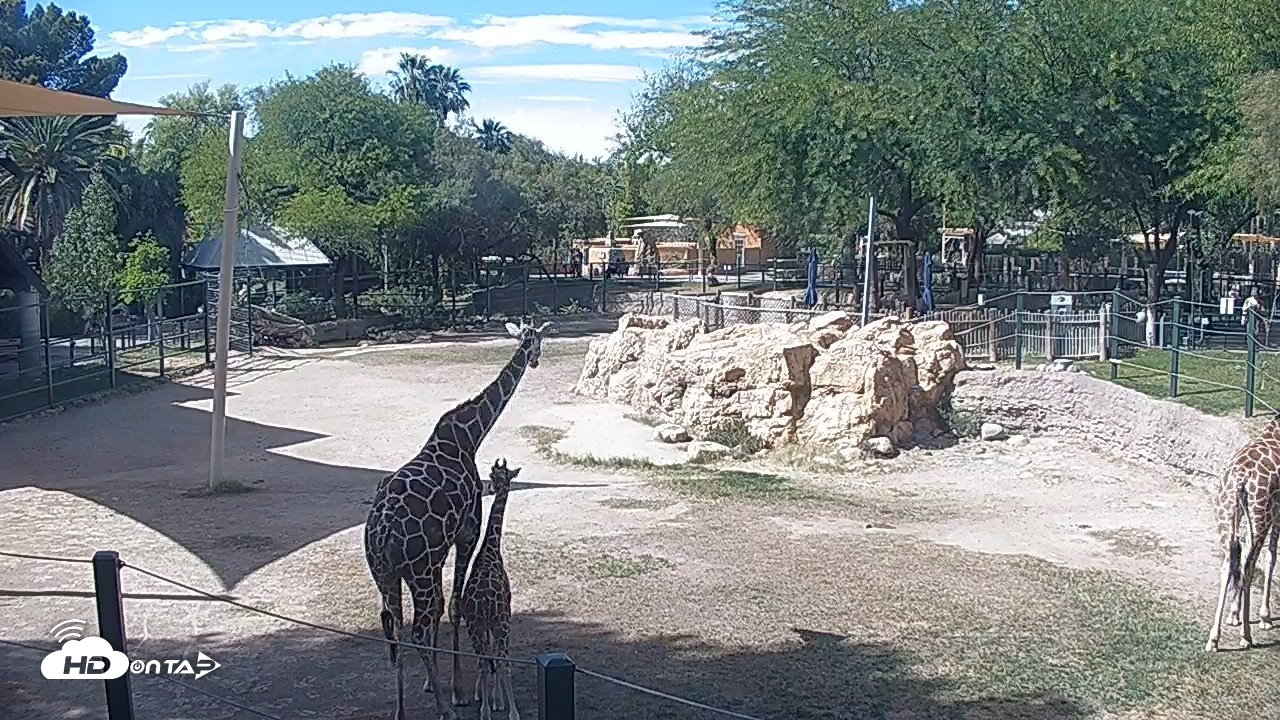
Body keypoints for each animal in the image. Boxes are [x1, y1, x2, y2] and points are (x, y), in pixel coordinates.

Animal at [364, 321, 551, 719]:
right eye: (535, 341)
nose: (535, 359)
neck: (470, 436)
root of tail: (383, 528)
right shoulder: (467, 532)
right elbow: (453, 607)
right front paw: (459, 692)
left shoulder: (438, 552)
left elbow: (440, 609)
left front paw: (434, 683)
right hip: (416, 571)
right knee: (416, 630)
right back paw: (444, 710)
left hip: (385, 573)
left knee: (396, 626)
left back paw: (400, 711)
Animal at [1205, 415, 1280, 652]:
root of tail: (1241, 479)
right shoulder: (1278, 512)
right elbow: (1271, 557)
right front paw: (1265, 617)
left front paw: (1233, 614)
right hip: (1259, 515)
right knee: (1248, 566)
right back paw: (1246, 636)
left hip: (1226, 514)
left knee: (1229, 563)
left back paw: (1213, 639)